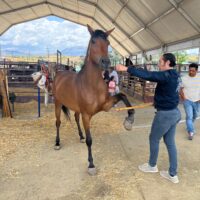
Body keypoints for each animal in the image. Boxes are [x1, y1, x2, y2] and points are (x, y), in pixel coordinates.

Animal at [53, 24, 134, 175]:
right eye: (94, 41)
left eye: (108, 43)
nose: (105, 62)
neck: (91, 84)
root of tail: (59, 74)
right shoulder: (86, 115)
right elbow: (90, 140)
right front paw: (91, 164)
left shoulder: (106, 106)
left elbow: (123, 96)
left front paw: (129, 120)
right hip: (57, 103)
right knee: (58, 122)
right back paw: (57, 143)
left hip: (75, 108)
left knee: (75, 118)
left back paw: (80, 136)